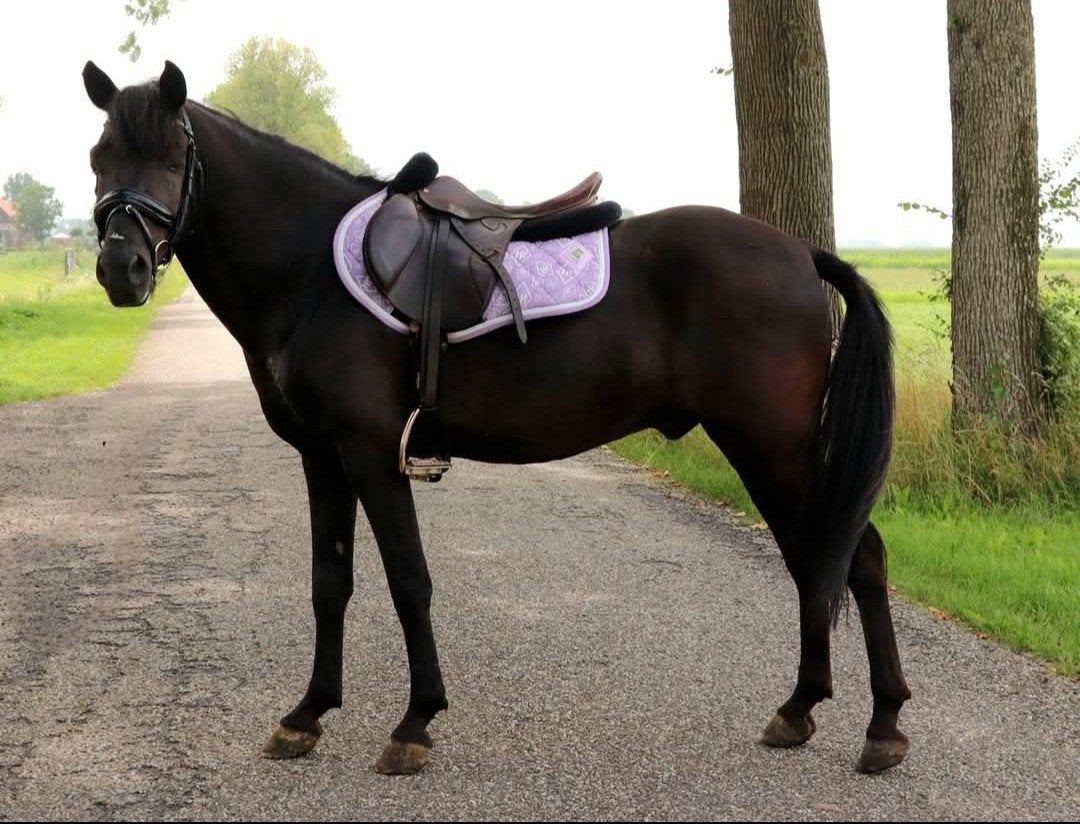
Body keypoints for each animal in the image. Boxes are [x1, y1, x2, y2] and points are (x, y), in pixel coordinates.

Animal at [82, 60, 910, 775]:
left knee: (853, 558)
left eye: (172, 157)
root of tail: (801, 253)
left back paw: (880, 726)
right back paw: (803, 711)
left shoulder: (372, 453)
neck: (311, 272)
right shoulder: (322, 458)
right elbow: (330, 582)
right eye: (98, 156)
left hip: (775, 447)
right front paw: (308, 714)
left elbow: (408, 580)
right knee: (819, 561)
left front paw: (414, 723)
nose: (122, 268)